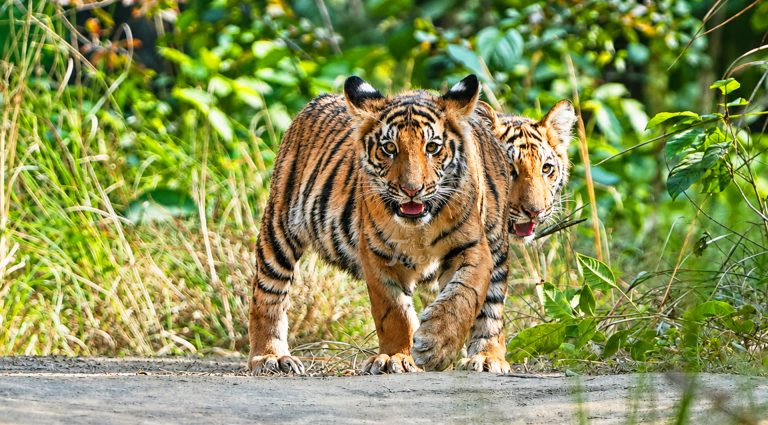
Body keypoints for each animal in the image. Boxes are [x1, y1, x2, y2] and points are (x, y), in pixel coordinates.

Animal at [248, 75, 512, 375]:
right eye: (389, 148)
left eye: (432, 147)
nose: (412, 190)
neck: (418, 229)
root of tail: (317, 101)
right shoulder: (377, 255)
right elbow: (394, 313)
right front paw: (395, 357)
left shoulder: (474, 248)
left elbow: (463, 297)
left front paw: (435, 345)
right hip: (279, 230)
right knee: (268, 295)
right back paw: (270, 357)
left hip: (498, 250)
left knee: (491, 311)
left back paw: (488, 357)